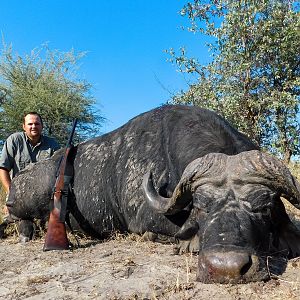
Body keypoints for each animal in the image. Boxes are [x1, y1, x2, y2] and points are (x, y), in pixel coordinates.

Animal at [4, 105, 300, 284]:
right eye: (200, 206)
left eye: (264, 206)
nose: (226, 268)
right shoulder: (145, 220)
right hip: (23, 200)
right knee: (19, 216)